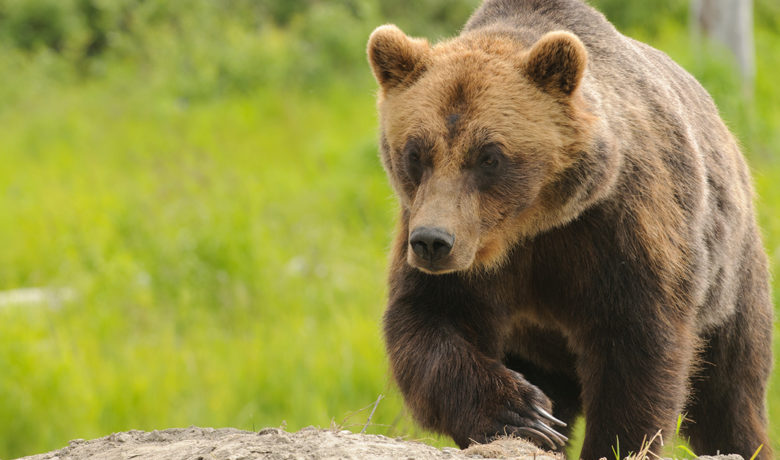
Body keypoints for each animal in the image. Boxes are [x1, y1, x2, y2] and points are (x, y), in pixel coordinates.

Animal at [366, 1, 774, 459]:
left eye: (489, 156)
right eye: (415, 153)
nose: (433, 242)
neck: (530, 224)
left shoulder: (618, 229)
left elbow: (636, 348)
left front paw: (612, 441)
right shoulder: (456, 245)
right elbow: (430, 319)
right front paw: (523, 414)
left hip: (732, 284)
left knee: (730, 393)